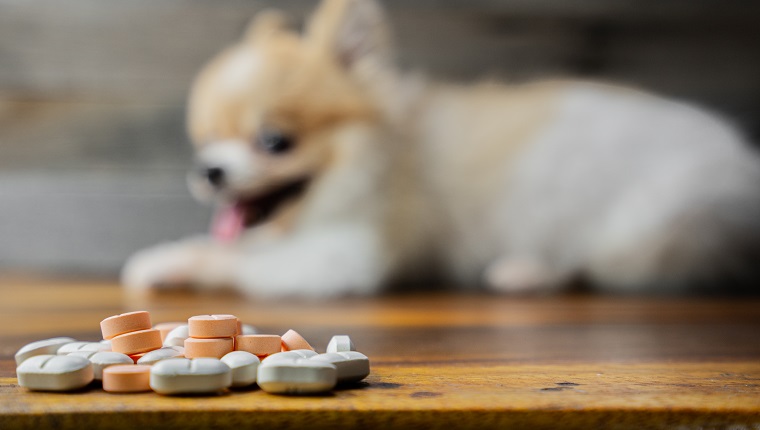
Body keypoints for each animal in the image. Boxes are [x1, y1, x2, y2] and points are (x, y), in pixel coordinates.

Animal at [121, 0, 756, 298]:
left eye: (275, 141)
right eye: (205, 140)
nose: (209, 170)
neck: (378, 155)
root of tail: (746, 166)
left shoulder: (349, 254)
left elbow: (235, 258)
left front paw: (170, 262)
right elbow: (233, 245)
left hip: (646, 237)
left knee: (598, 267)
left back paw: (526, 272)